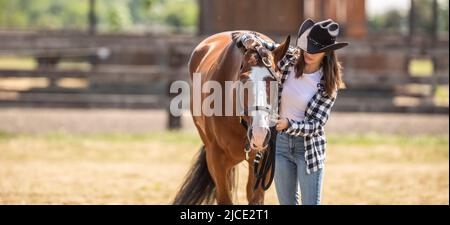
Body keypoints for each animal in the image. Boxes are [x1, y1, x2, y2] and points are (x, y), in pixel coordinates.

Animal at [172, 30, 292, 205]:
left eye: (275, 80)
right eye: (243, 80)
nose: (259, 134)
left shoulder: (264, 159)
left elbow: (255, 197)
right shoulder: (216, 159)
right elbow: (224, 197)